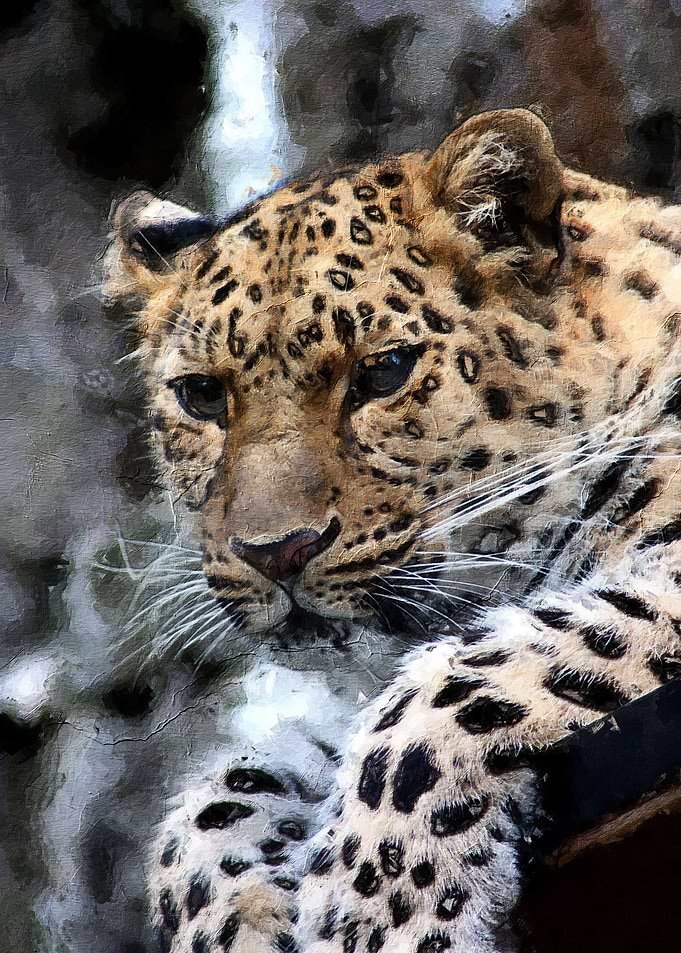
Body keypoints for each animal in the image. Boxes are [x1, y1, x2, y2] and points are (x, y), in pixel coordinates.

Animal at [103, 108, 681, 953]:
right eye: (202, 395)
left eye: (383, 373)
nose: (274, 551)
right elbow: (219, 797)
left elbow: (452, 686)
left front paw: (375, 914)